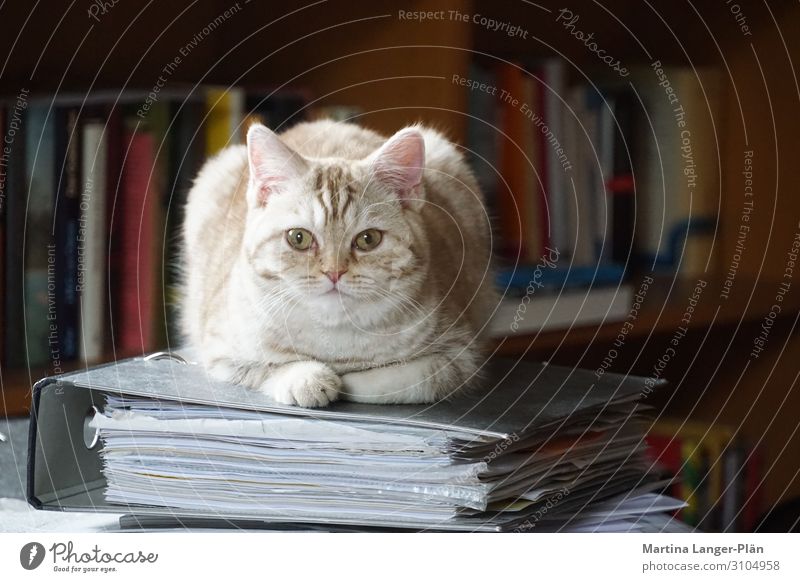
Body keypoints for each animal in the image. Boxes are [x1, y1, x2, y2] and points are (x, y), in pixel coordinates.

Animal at [181, 120, 494, 408]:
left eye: (368, 239)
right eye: (298, 238)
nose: (334, 272)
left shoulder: (461, 358)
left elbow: (402, 379)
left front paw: (350, 380)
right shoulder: (220, 350)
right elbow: (269, 367)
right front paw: (308, 378)